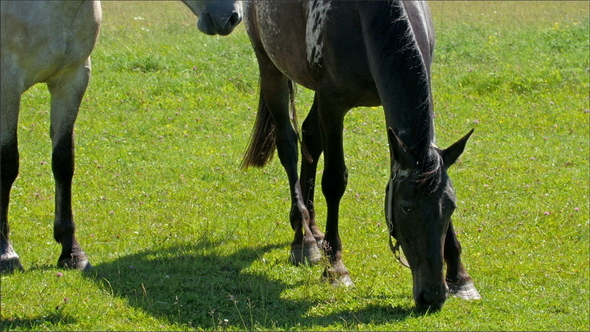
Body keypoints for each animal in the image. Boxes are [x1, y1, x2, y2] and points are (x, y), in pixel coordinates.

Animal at [0, 0, 243, 272]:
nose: (232, 17)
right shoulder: (7, 83)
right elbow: (7, 165)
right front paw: (6, 254)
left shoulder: (71, 80)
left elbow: (63, 162)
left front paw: (71, 251)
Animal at [243, 0, 484, 312]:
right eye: (406, 207)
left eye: (451, 207)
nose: (432, 296)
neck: (367, 15)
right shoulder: (332, 103)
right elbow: (334, 181)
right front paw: (335, 269)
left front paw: (460, 277)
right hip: (270, 67)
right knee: (289, 145)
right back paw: (304, 240)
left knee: (310, 138)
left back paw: (313, 229)